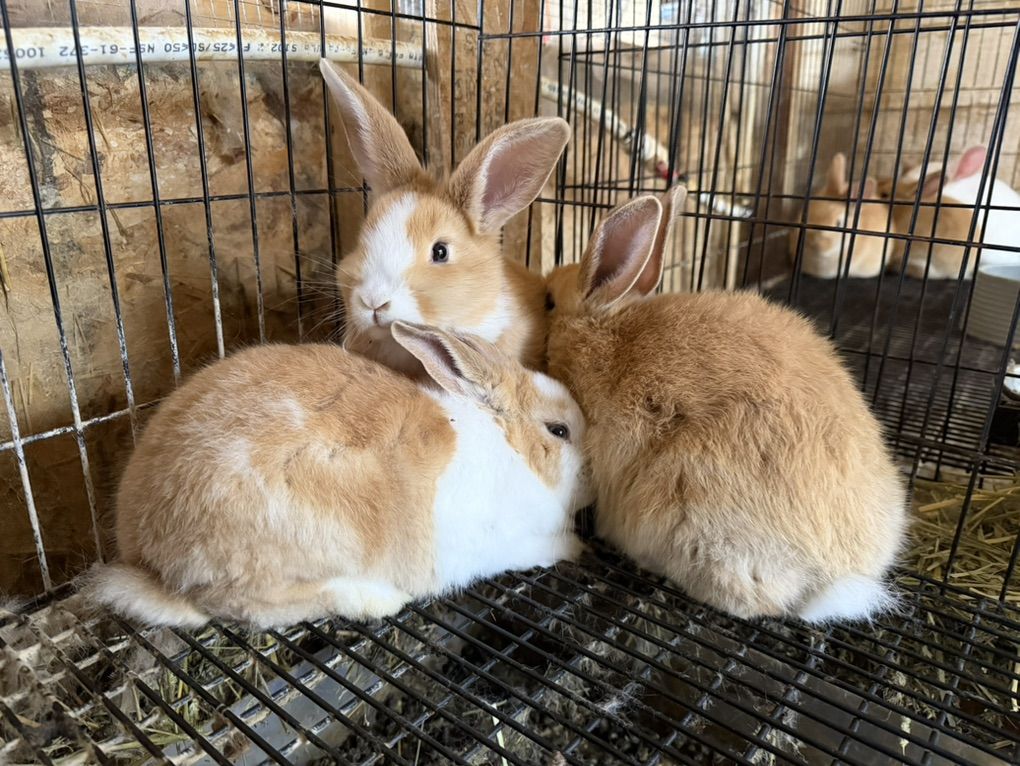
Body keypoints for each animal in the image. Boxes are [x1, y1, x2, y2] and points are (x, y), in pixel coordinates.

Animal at [85, 323, 592, 628]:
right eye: (559, 431)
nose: (593, 482)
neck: (507, 446)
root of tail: (143, 554)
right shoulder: (496, 543)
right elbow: (535, 549)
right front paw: (574, 548)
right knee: (251, 605)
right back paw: (377, 599)